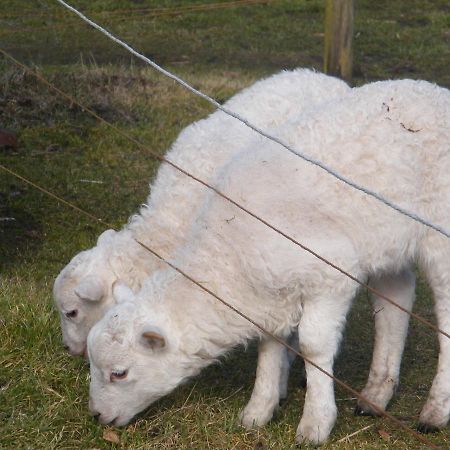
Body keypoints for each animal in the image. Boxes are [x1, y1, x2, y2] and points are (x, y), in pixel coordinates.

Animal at [86, 79, 450, 444]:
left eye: (119, 373)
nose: (97, 415)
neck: (228, 259)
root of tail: (435, 90)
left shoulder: (331, 276)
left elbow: (313, 346)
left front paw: (315, 423)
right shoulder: (271, 296)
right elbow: (269, 347)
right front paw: (259, 410)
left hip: (441, 237)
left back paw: (435, 411)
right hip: (389, 243)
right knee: (394, 305)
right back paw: (376, 395)